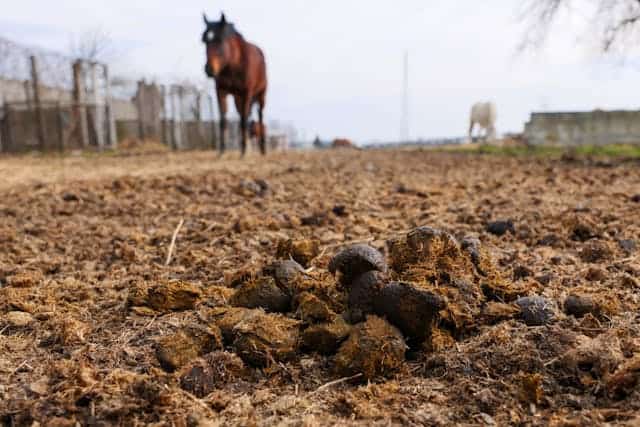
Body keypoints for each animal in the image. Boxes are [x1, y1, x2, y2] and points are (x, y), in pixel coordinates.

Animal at [202, 12, 268, 157]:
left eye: (220, 40)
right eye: (205, 41)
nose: (209, 69)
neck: (232, 65)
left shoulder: (247, 92)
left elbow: (244, 119)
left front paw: (244, 151)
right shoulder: (221, 91)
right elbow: (223, 119)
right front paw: (222, 151)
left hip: (261, 94)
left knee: (259, 116)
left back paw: (262, 148)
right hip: (238, 98)